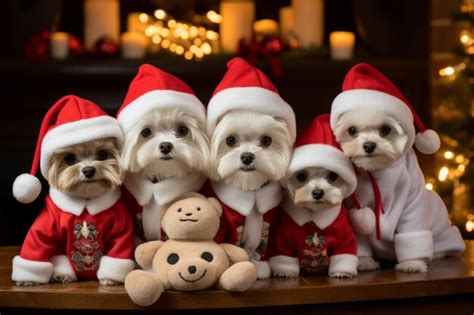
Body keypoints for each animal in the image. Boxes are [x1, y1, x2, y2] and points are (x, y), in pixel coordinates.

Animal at [12, 95, 134, 286]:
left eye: (102, 155)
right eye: (69, 158)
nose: (88, 170)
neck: (86, 200)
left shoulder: (122, 226)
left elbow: (120, 248)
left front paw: (109, 278)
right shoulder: (48, 220)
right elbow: (36, 241)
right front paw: (28, 279)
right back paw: (61, 274)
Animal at [206, 58, 294, 280]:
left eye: (267, 140)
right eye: (230, 140)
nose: (247, 156)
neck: (251, 193)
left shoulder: (269, 223)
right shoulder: (224, 226)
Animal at [268, 115, 358, 278]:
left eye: (333, 176)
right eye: (301, 176)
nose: (317, 192)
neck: (313, 218)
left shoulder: (345, 237)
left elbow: (345, 253)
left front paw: (341, 272)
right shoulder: (282, 240)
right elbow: (283, 256)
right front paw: (285, 272)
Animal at [332, 64, 464, 274]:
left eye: (385, 129)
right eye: (352, 130)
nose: (369, 145)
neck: (378, 171)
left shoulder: (413, 201)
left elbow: (412, 232)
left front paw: (413, 262)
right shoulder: (353, 207)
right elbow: (360, 235)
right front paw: (363, 261)